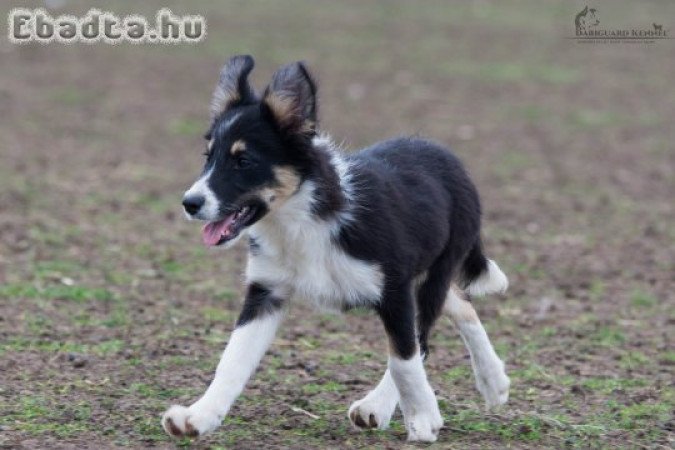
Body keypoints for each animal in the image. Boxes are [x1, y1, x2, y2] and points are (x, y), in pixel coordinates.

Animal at [164, 54, 510, 442]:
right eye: (207, 157)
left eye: (243, 161)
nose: (189, 203)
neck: (299, 219)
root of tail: (448, 155)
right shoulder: (266, 291)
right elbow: (233, 360)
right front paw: (198, 416)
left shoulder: (393, 289)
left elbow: (403, 357)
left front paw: (422, 417)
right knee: (460, 303)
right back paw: (494, 381)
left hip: (434, 273)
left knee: (424, 336)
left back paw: (385, 404)